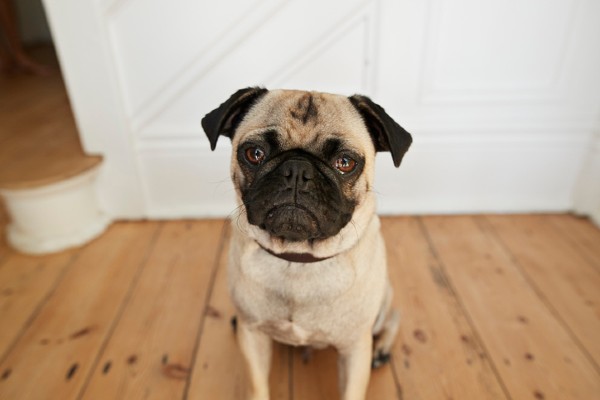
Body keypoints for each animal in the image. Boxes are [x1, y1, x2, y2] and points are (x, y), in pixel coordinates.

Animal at [202, 88, 412, 400]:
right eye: (254, 154)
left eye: (345, 163)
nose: (297, 170)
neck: (297, 257)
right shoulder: (253, 337)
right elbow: (257, 386)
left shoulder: (354, 348)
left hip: (383, 303)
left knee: (392, 318)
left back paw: (382, 349)